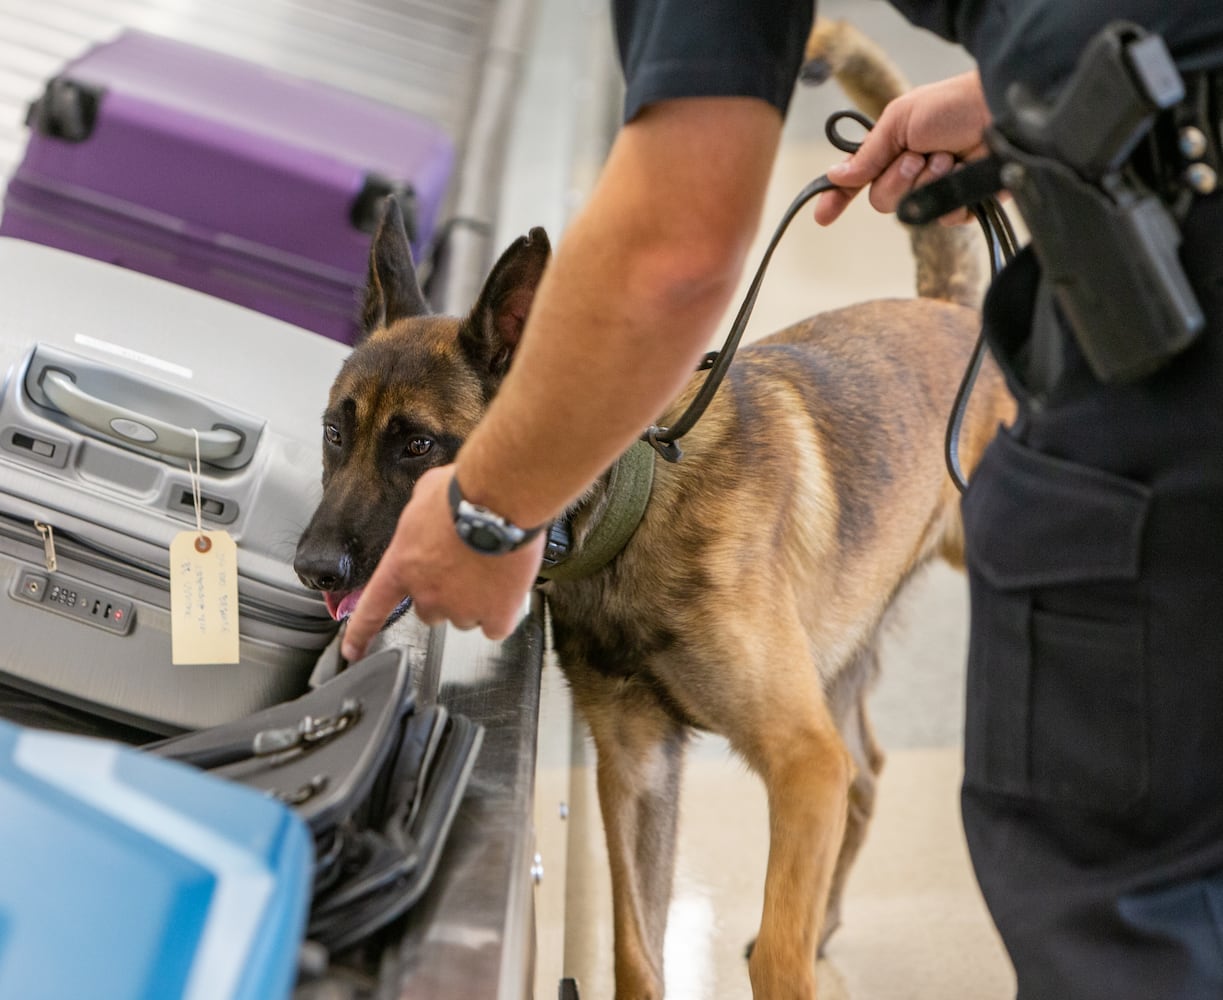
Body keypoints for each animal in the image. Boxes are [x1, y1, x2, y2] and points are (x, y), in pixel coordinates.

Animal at [293, 17, 1012, 997]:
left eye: (417, 448)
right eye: (335, 433)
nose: (314, 567)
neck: (633, 513)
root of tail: (949, 310)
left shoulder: (799, 763)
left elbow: (777, 953)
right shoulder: (636, 771)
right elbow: (636, 949)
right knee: (864, 775)